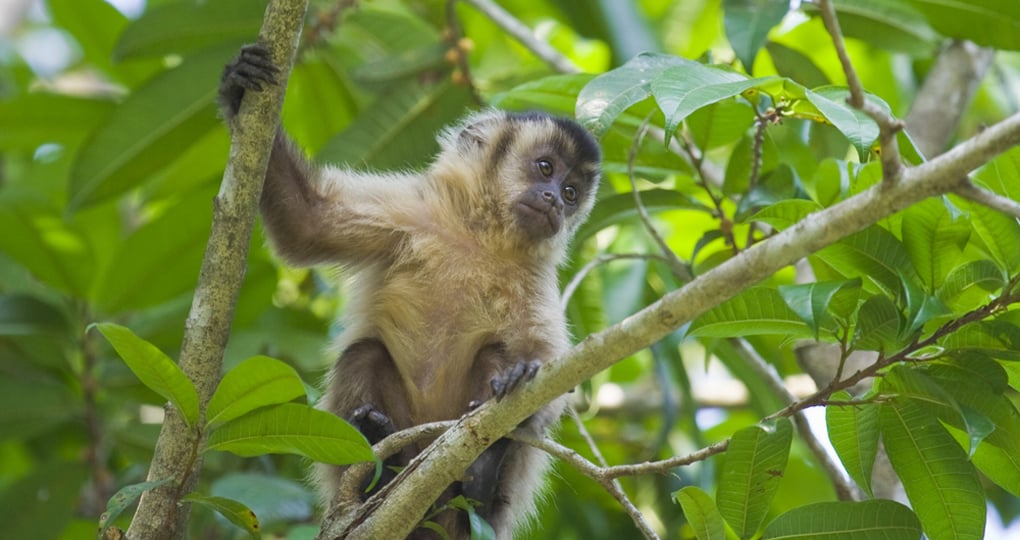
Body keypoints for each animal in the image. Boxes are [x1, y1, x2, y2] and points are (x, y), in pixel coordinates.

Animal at [219, 44, 601, 539]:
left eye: (572, 192)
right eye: (546, 168)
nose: (555, 200)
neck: (481, 236)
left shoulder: (535, 273)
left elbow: (552, 376)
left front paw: (522, 378)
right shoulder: (410, 212)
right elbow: (307, 222)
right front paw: (237, 86)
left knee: (494, 357)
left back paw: (482, 471)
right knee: (363, 353)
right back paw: (377, 463)